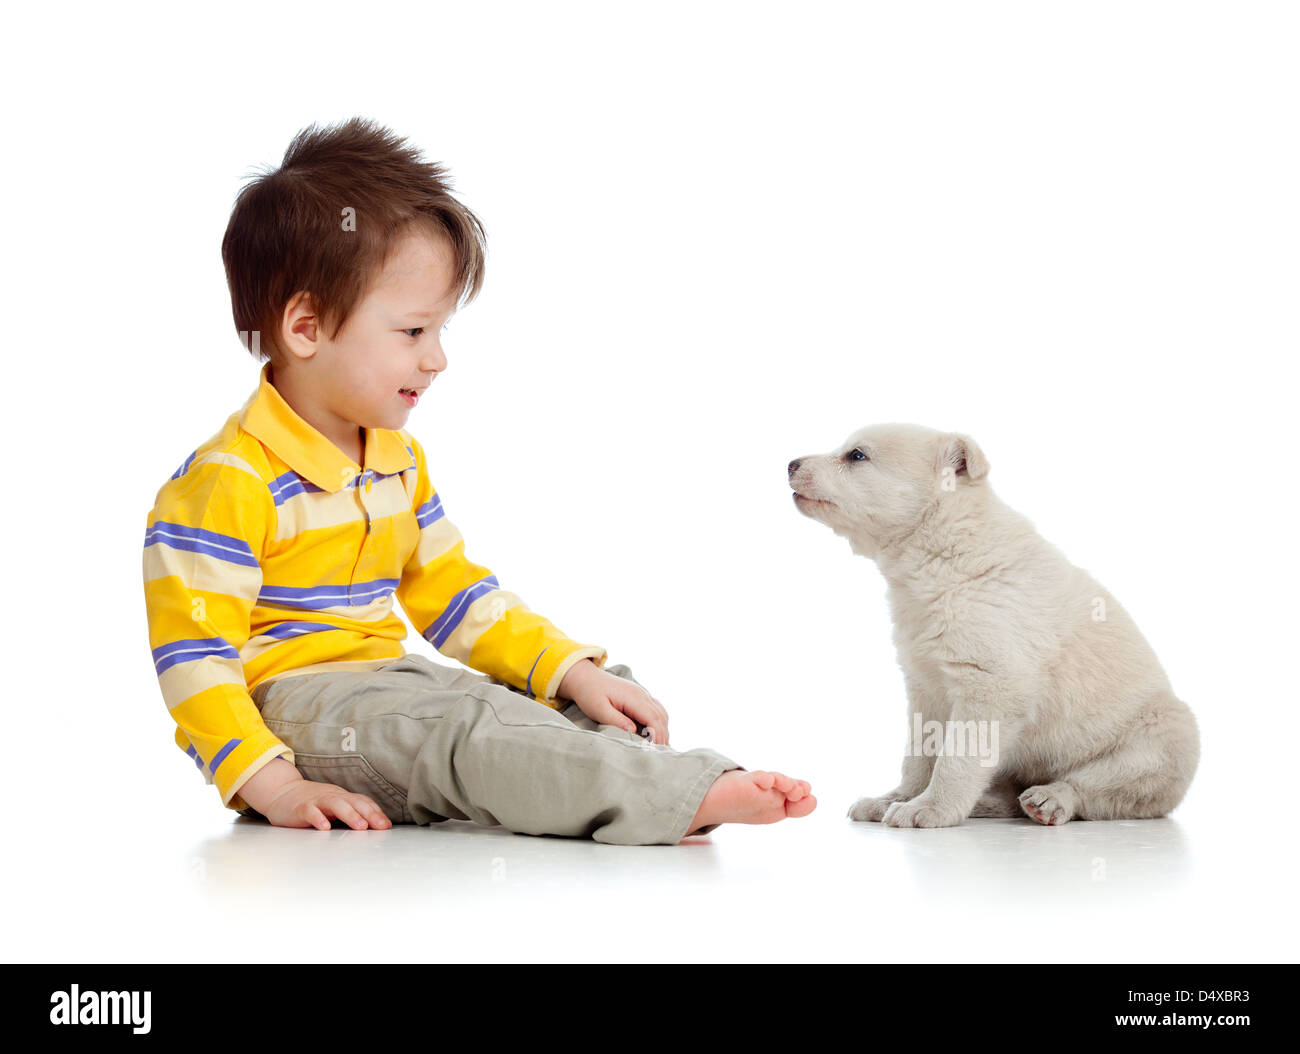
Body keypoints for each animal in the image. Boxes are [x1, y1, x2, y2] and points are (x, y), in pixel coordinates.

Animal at [780, 423, 1196, 826]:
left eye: (856, 455)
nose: (790, 464)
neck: (943, 551)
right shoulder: (924, 681)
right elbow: (919, 752)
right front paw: (894, 799)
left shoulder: (991, 680)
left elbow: (958, 757)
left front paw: (927, 809)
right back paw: (986, 803)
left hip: (1159, 737)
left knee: (1104, 786)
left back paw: (1049, 800)